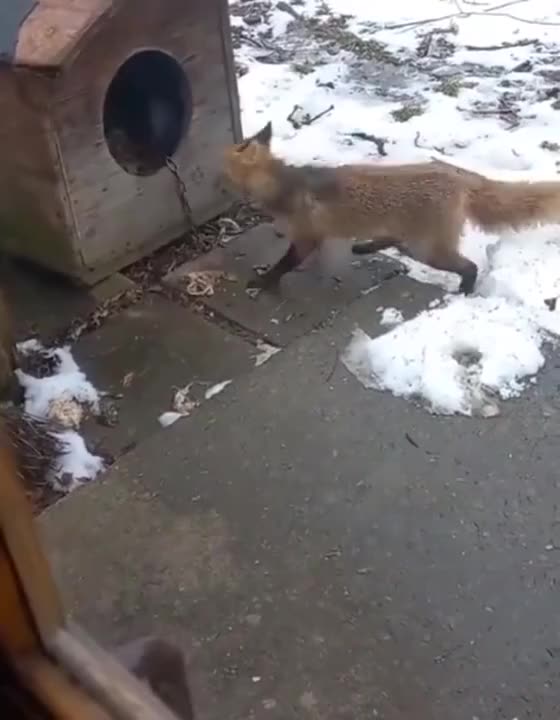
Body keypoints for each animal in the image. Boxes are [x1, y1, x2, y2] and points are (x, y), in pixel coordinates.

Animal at [223, 121, 560, 294]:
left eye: (227, 157)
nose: (215, 172)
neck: (285, 186)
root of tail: (455, 173)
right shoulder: (320, 236)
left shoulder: (307, 236)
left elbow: (285, 264)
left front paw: (264, 282)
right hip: (415, 238)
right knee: (395, 239)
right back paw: (367, 246)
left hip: (427, 250)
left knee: (470, 266)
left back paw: (465, 290)